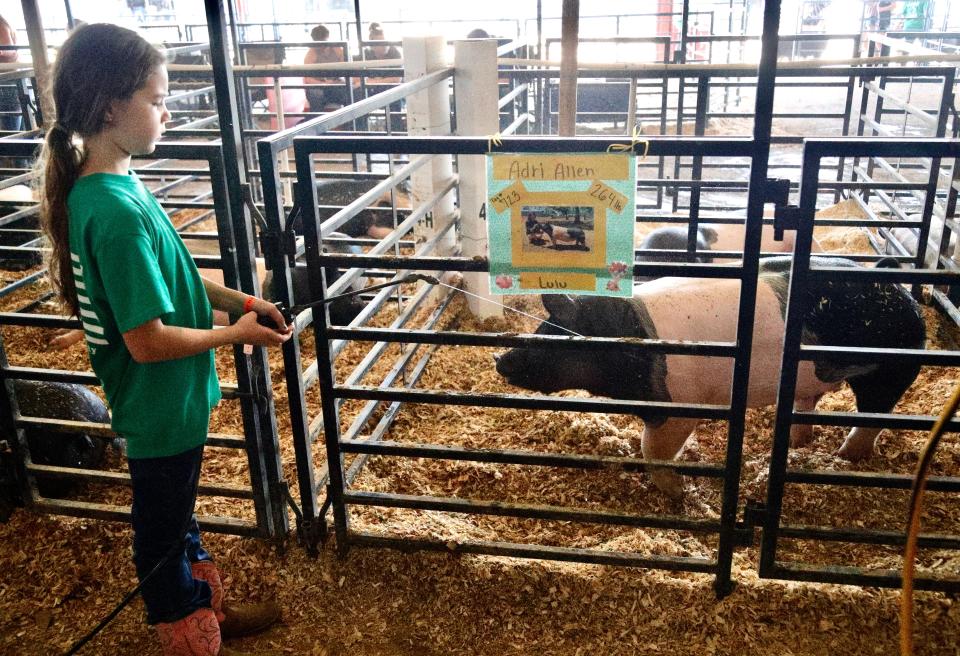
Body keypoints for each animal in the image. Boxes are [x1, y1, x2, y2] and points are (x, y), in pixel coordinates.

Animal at [496, 256, 924, 498]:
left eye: (550, 336)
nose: (499, 358)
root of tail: (901, 289)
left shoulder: (678, 406)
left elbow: (652, 450)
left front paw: (678, 495)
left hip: (889, 372)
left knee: (872, 417)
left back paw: (844, 457)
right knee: (807, 406)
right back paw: (798, 444)